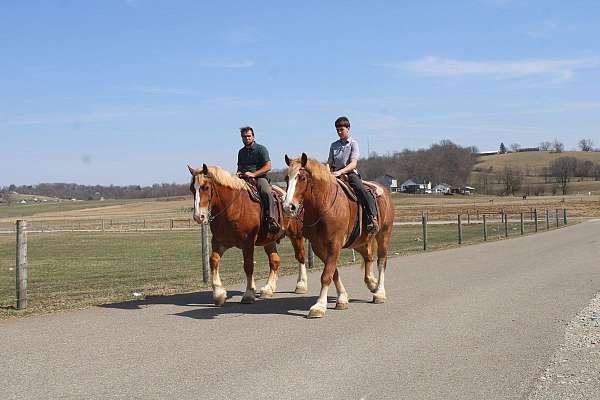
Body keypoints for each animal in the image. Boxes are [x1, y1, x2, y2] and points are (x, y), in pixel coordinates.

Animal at [188, 164, 310, 304]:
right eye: (192, 189)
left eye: (206, 187)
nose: (198, 216)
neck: (233, 207)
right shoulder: (219, 241)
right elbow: (214, 261)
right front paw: (219, 293)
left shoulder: (248, 242)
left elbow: (248, 265)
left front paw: (249, 293)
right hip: (269, 240)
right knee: (275, 261)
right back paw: (268, 289)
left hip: (296, 235)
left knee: (300, 257)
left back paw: (301, 285)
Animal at [284, 153, 396, 318]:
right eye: (286, 178)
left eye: (302, 178)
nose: (288, 207)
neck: (324, 205)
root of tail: (384, 190)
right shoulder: (319, 247)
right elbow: (333, 272)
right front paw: (342, 298)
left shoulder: (334, 244)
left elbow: (326, 275)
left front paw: (319, 306)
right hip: (358, 241)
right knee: (368, 256)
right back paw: (372, 283)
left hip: (384, 234)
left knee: (382, 261)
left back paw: (379, 292)